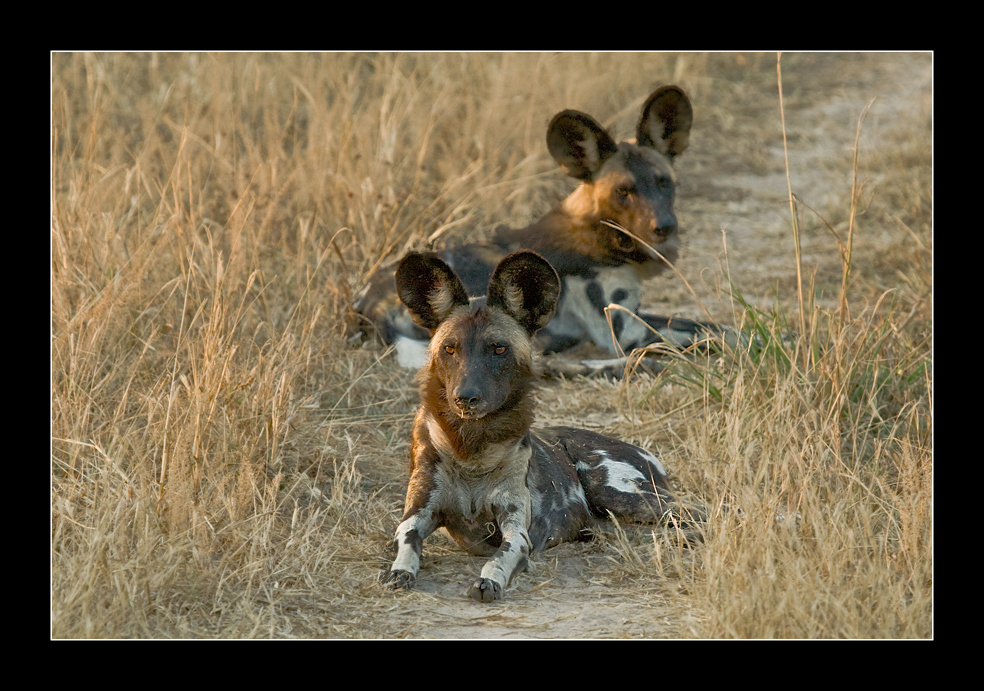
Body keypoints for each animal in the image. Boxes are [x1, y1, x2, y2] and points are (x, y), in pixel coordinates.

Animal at [352, 84, 724, 376]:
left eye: (663, 183)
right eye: (623, 192)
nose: (664, 226)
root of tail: (367, 299)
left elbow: (715, 326)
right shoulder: (623, 330)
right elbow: (716, 332)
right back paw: (634, 366)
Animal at [380, 251, 704, 604]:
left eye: (499, 348)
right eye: (449, 348)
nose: (465, 397)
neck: (472, 451)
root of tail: (641, 449)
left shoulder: (516, 529)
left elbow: (502, 554)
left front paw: (489, 580)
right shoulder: (416, 515)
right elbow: (407, 539)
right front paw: (400, 571)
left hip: (626, 496)